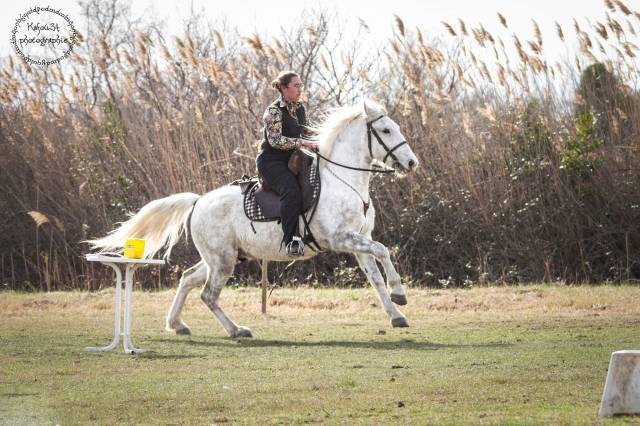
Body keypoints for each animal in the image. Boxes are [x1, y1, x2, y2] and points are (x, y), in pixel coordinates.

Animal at [88, 99, 419, 338]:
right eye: (386, 131)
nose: (412, 163)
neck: (345, 180)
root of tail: (199, 201)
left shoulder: (358, 241)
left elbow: (375, 274)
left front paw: (397, 314)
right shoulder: (341, 238)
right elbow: (383, 251)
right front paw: (400, 293)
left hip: (221, 257)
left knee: (188, 279)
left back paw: (177, 325)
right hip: (223, 261)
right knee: (208, 294)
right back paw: (236, 330)